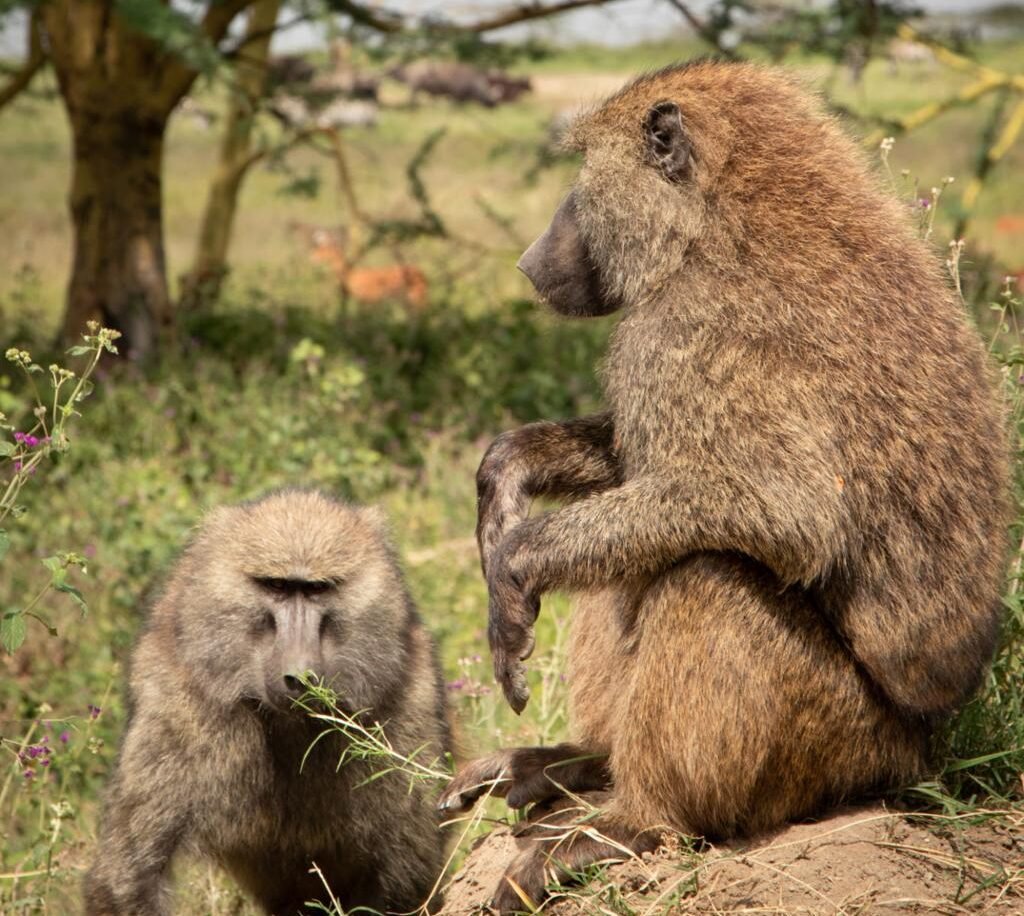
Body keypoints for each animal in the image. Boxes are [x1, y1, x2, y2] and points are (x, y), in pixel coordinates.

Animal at [85, 490, 453, 916]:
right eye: (276, 585)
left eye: (317, 589)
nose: (300, 677)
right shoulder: (178, 705)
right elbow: (130, 876)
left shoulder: (405, 706)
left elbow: (407, 876)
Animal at [438, 60, 1010, 912]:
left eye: (583, 173)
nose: (530, 259)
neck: (717, 217)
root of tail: (926, 755)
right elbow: (648, 469)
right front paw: (506, 470)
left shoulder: (686, 331)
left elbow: (786, 512)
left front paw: (512, 570)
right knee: (634, 563)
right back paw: (578, 762)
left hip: (842, 744)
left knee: (708, 572)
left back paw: (634, 819)